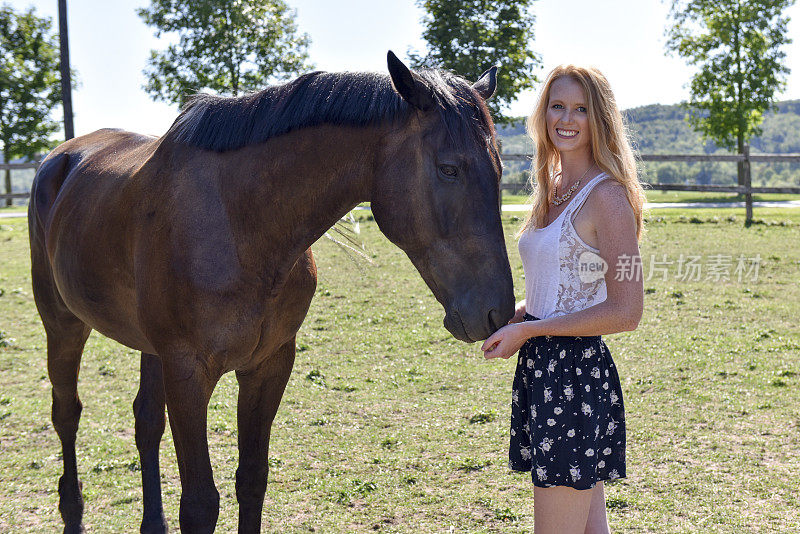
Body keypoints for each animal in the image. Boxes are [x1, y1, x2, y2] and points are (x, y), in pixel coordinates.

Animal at [29, 51, 512, 534]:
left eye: (500, 170)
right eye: (449, 168)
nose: (498, 311)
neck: (239, 221)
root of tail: (59, 158)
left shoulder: (268, 365)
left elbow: (252, 480)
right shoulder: (187, 374)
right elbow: (200, 503)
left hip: (150, 348)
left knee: (146, 422)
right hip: (62, 323)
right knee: (66, 414)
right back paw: (72, 513)